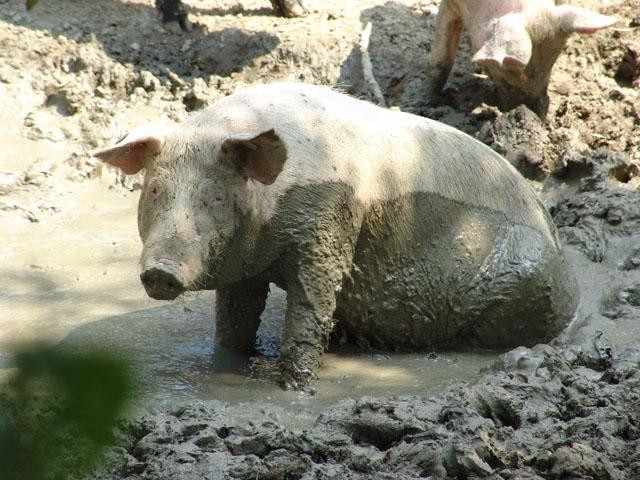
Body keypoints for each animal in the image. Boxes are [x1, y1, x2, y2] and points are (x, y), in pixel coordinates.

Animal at [95, 83, 580, 390]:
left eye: (214, 196)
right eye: (155, 190)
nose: (160, 271)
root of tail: (570, 281)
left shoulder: (327, 225)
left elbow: (312, 304)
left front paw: (294, 389)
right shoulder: (245, 268)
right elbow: (234, 320)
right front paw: (229, 366)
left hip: (521, 283)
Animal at [428, 0, 616, 116]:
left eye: (551, 65)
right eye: (509, 73)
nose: (534, 113)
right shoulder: (451, 5)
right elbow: (442, 61)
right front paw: (430, 103)